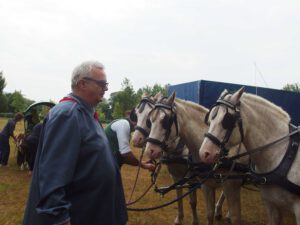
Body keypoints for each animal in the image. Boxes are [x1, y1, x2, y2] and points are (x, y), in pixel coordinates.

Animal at [131, 92, 199, 225]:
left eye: (148, 118)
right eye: (136, 114)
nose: (136, 140)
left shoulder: (191, 178)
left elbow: (193, 202)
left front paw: (195, 221)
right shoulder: (176, 175)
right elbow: (178, 197)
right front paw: (179, 218)